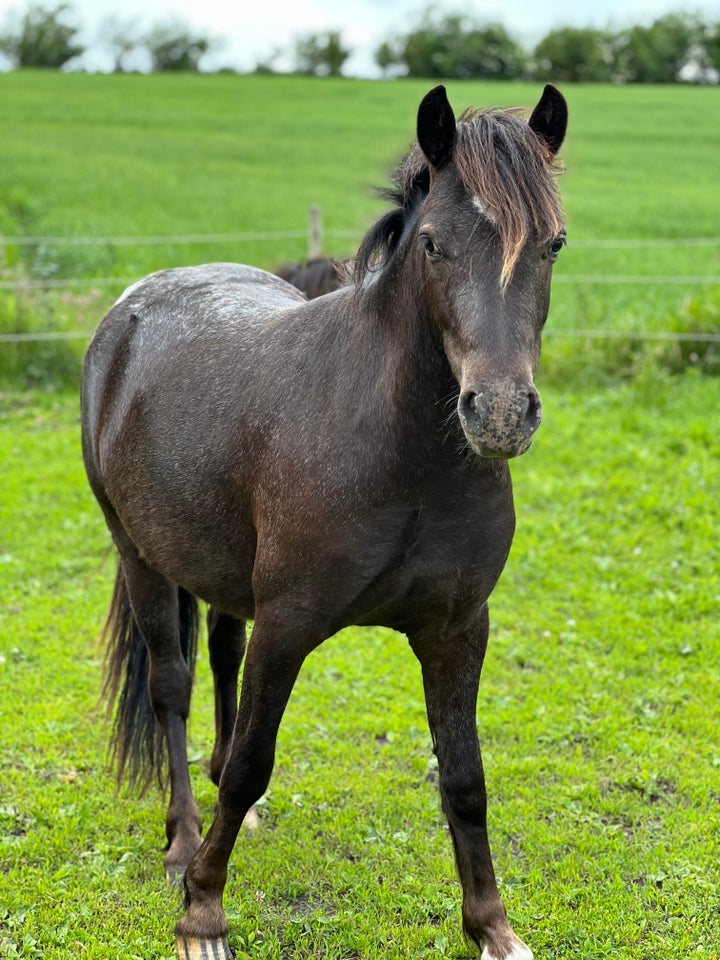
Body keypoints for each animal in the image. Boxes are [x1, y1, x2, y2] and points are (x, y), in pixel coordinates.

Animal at [81, 84, 568, 960]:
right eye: (435, 245)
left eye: (553, 243)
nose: (501, 413)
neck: (402, 454)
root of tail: (129, 314)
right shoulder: (288, 626)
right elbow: (253, 763)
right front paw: (202, 912)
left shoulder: (458, 629)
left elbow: (464, 776)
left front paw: (492, 926)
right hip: (139, 558)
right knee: (172, 686)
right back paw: (182, 839)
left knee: (219, 655)